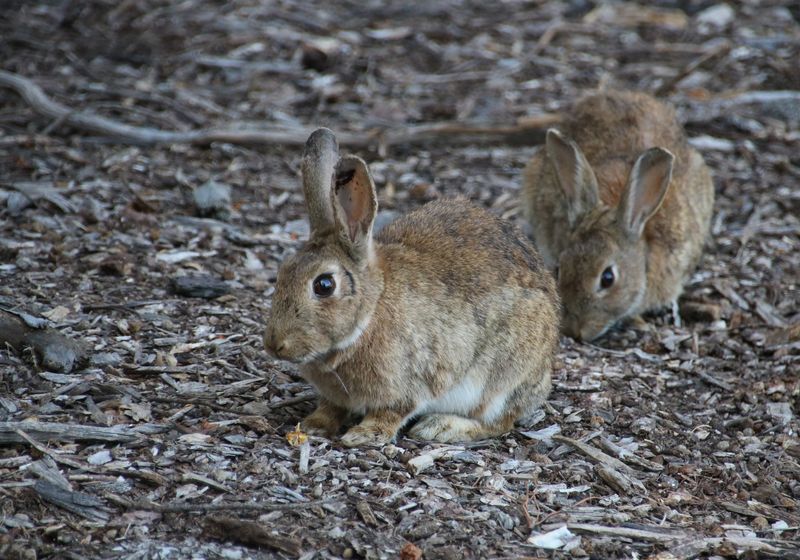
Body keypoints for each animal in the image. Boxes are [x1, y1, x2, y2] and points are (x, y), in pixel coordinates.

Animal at [264, 128, 560, 447]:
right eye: (283, 270)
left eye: (324, 285)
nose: (274, 345)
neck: (370, 312)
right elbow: (331, 407)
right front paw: (313, 424)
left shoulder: (415, 379)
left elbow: (392, 412)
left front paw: (363, 434)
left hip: (501, 378)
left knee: (499, 421)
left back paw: (441, 427)